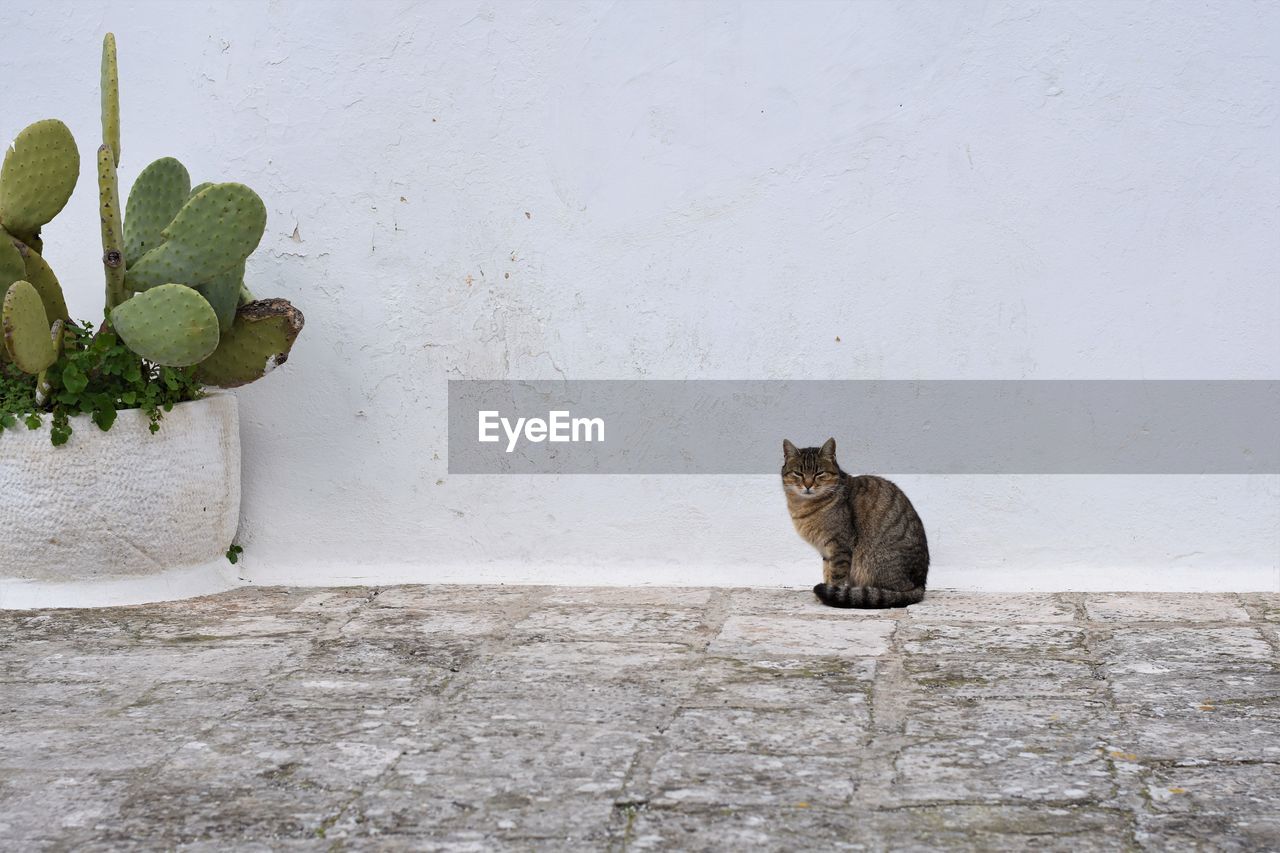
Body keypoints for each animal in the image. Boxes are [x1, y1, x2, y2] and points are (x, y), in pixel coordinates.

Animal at [778, 438, 931, 604]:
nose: (807, 485)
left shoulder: (840, 546)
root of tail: (921, 584)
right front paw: (824, 593)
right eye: (798, 473)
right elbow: (826, 572)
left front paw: (829, 594)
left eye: (819, 473)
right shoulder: (826, 551)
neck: (803, 507)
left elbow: (836, 576)